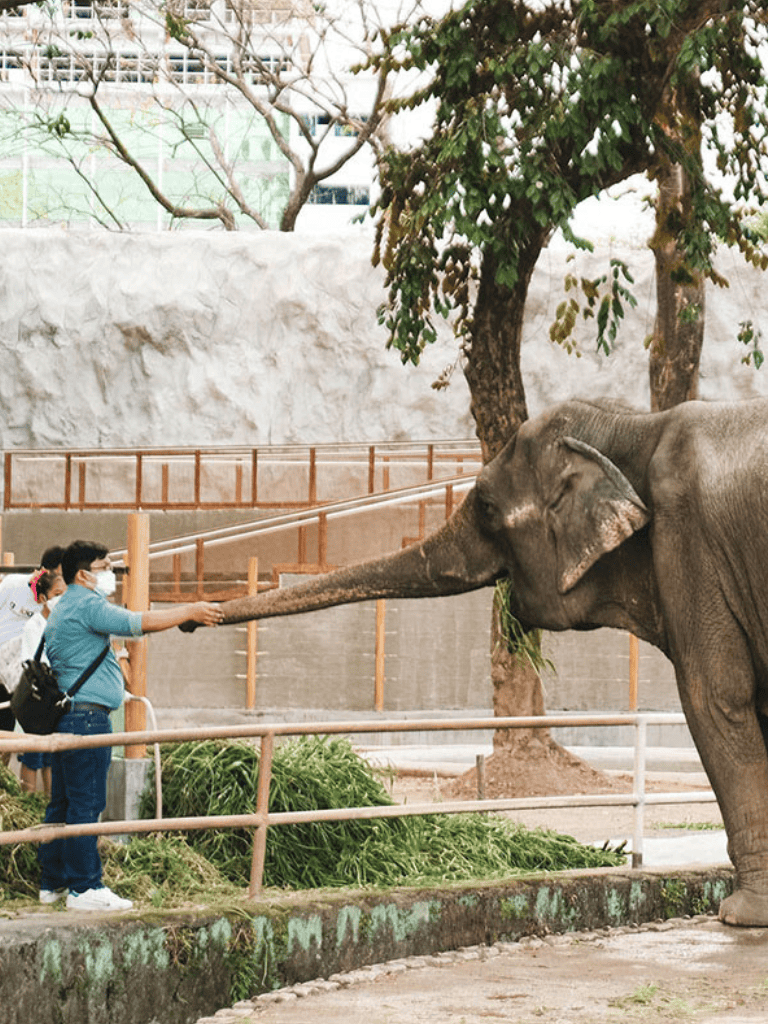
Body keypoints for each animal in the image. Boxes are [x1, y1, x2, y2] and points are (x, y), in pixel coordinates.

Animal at [193, 396, 768, 927]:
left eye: (488, 506)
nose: (194, 621)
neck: (637, 424)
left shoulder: (691, 546)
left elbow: (717, 697)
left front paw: (739, 915)